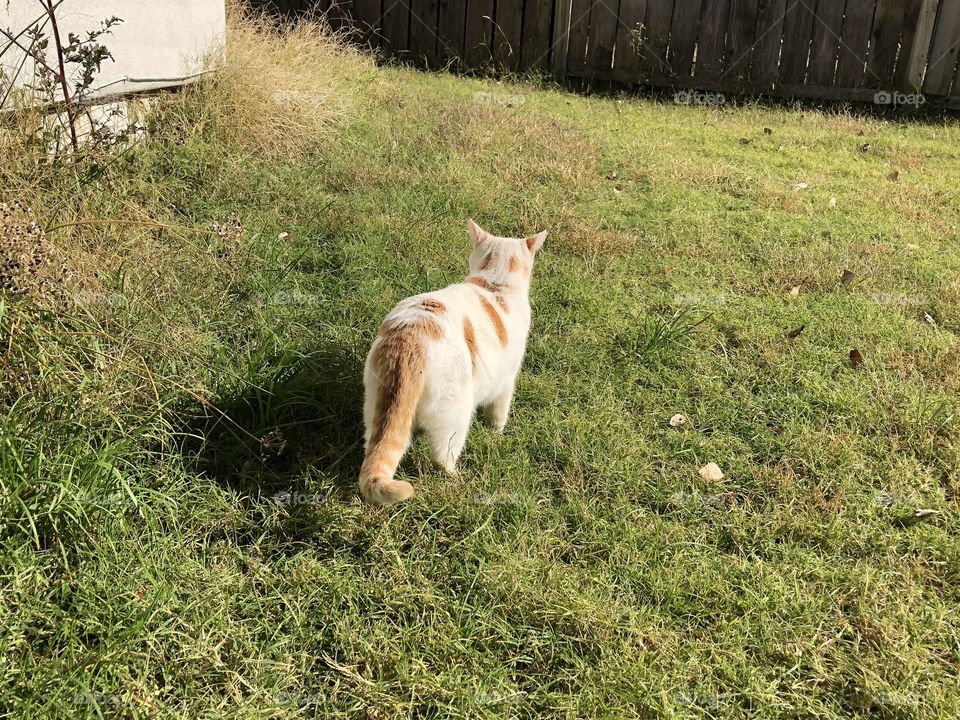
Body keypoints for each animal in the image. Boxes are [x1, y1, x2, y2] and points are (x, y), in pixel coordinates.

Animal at [358, 221, 544, 506]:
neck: (494, 283)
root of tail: (411, 337)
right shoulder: (507, 380)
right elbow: (499, 413)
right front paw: (497, 433)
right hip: (456, 413)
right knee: (442, 456)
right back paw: (457, 478)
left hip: (374, 403)